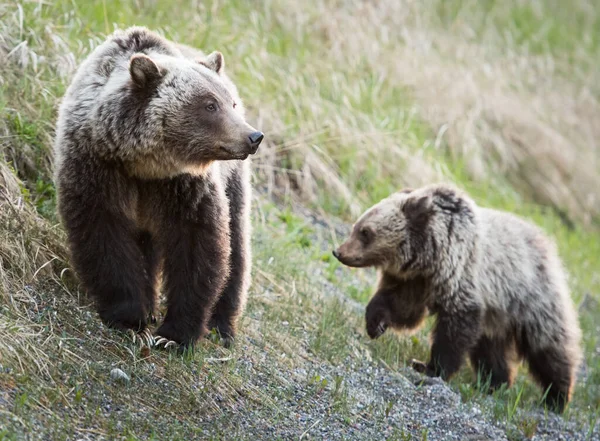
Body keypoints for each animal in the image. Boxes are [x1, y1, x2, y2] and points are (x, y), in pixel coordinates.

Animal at [54, 27, 262, 348]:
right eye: (210, 105)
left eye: (232, 104)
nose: (253, 136)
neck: (143, 163)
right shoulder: (96, 167)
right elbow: (104, 233)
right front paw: (129, 316)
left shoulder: (184, 186)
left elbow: (197, 245)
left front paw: (175, 335)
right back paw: (151, 305)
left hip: (233, 183)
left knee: (237, 246)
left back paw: (222, 325)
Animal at [332, 184, 580, 410]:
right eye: (357, 226)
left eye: (365, 232)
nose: (338, 251)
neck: (429, 256)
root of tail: (547, 244)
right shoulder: (416, 281)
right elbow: (400, 306)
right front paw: (375, 323)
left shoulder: (460, 275)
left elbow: (453, 331)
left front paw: (429, 367)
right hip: (496, 315)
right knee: (490, 349)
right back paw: (493, 383)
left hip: (531, 297)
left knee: (548, 347)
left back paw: (555, 398)